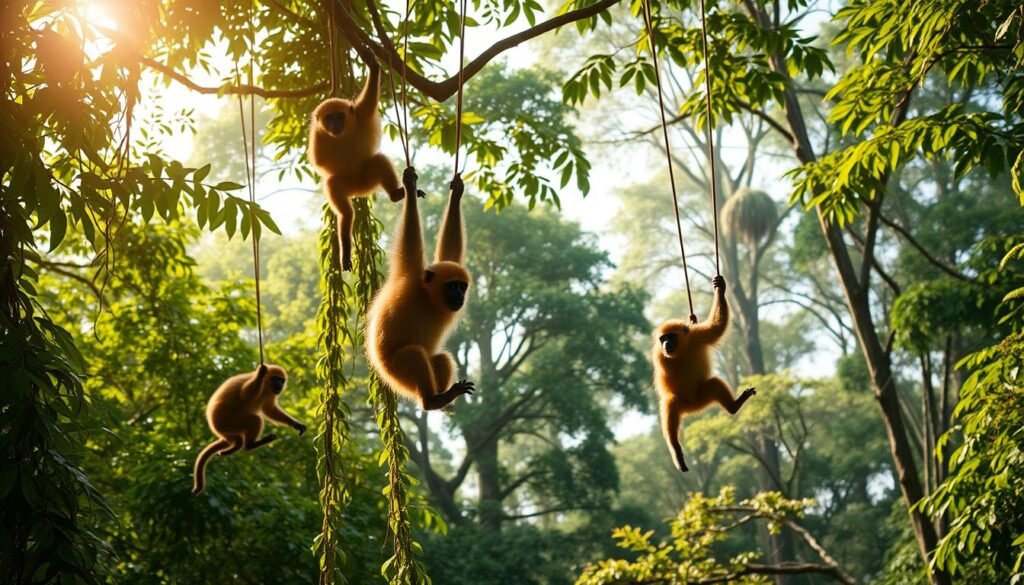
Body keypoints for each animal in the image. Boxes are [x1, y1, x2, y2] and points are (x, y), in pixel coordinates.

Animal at [191, 364, 307, 494]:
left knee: (240, 436)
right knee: (255, 419)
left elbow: (269, 409)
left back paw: (235, 446)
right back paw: (251, 445)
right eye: (275, 379)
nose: (279, 384)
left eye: (281, 380)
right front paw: (260, 372)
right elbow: (245, 394)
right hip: (227, 421)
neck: (265, 387)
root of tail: (217, 429)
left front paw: (296, 424)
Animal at [309, 55, 403, 271]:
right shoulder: (317, 136)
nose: (335, 124)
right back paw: (345, 249)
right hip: (347, 184)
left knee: (378, 161)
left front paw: (373, 64)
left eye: (340, 116)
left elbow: (369, 101)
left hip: (368, 177)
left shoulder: (359, 113)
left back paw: (396, 194)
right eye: (330, 118)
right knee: (342, 203)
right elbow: (319, 162)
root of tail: (361, 189)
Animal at [366, 167, 475, 411]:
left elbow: (449, 253)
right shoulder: (410, 277)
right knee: (414, 354)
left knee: (441, 358)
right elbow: (410, 241)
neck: (428, 298)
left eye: (462, 287)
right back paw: (433, 401)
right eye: (452, 286)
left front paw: (457, 192)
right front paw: (410, 186)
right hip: (396, 372)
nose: (460, 295)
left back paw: (443, 400)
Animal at [653, 276, 756, 472]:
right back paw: (676, 448)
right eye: (663, 339)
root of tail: (694, 407)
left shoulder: (697, 335)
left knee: (713, 383)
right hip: (683, 402)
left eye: (671, 337)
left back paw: (734, 405)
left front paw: (720, 287)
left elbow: (717, 327)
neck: (682, 350)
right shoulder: (659, 355)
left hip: (703, 395)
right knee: (670, 401)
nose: (666, 344)